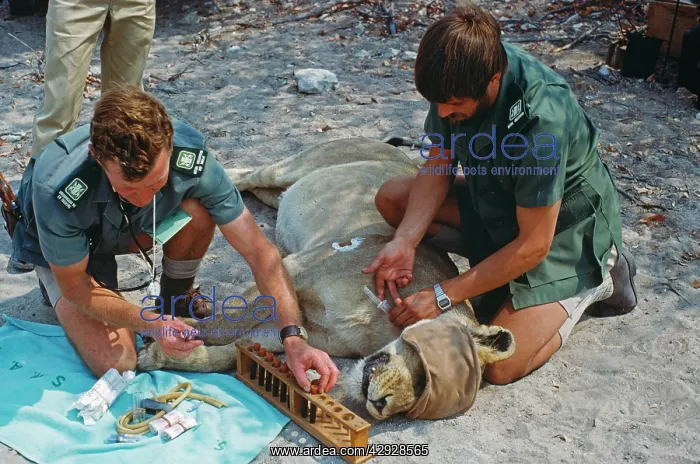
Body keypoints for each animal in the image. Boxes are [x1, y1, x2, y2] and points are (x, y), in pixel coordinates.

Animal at [137, 138, 515, 420]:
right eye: (424, 374)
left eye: (414, 407)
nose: (381, 406)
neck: (376, 327)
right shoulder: (295, 268)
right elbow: (222, 323)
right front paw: (164, 330)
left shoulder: (302, 332)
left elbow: (228, 353)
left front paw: (158, 355)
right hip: (290, 167)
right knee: (245, 175)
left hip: (282, 193)